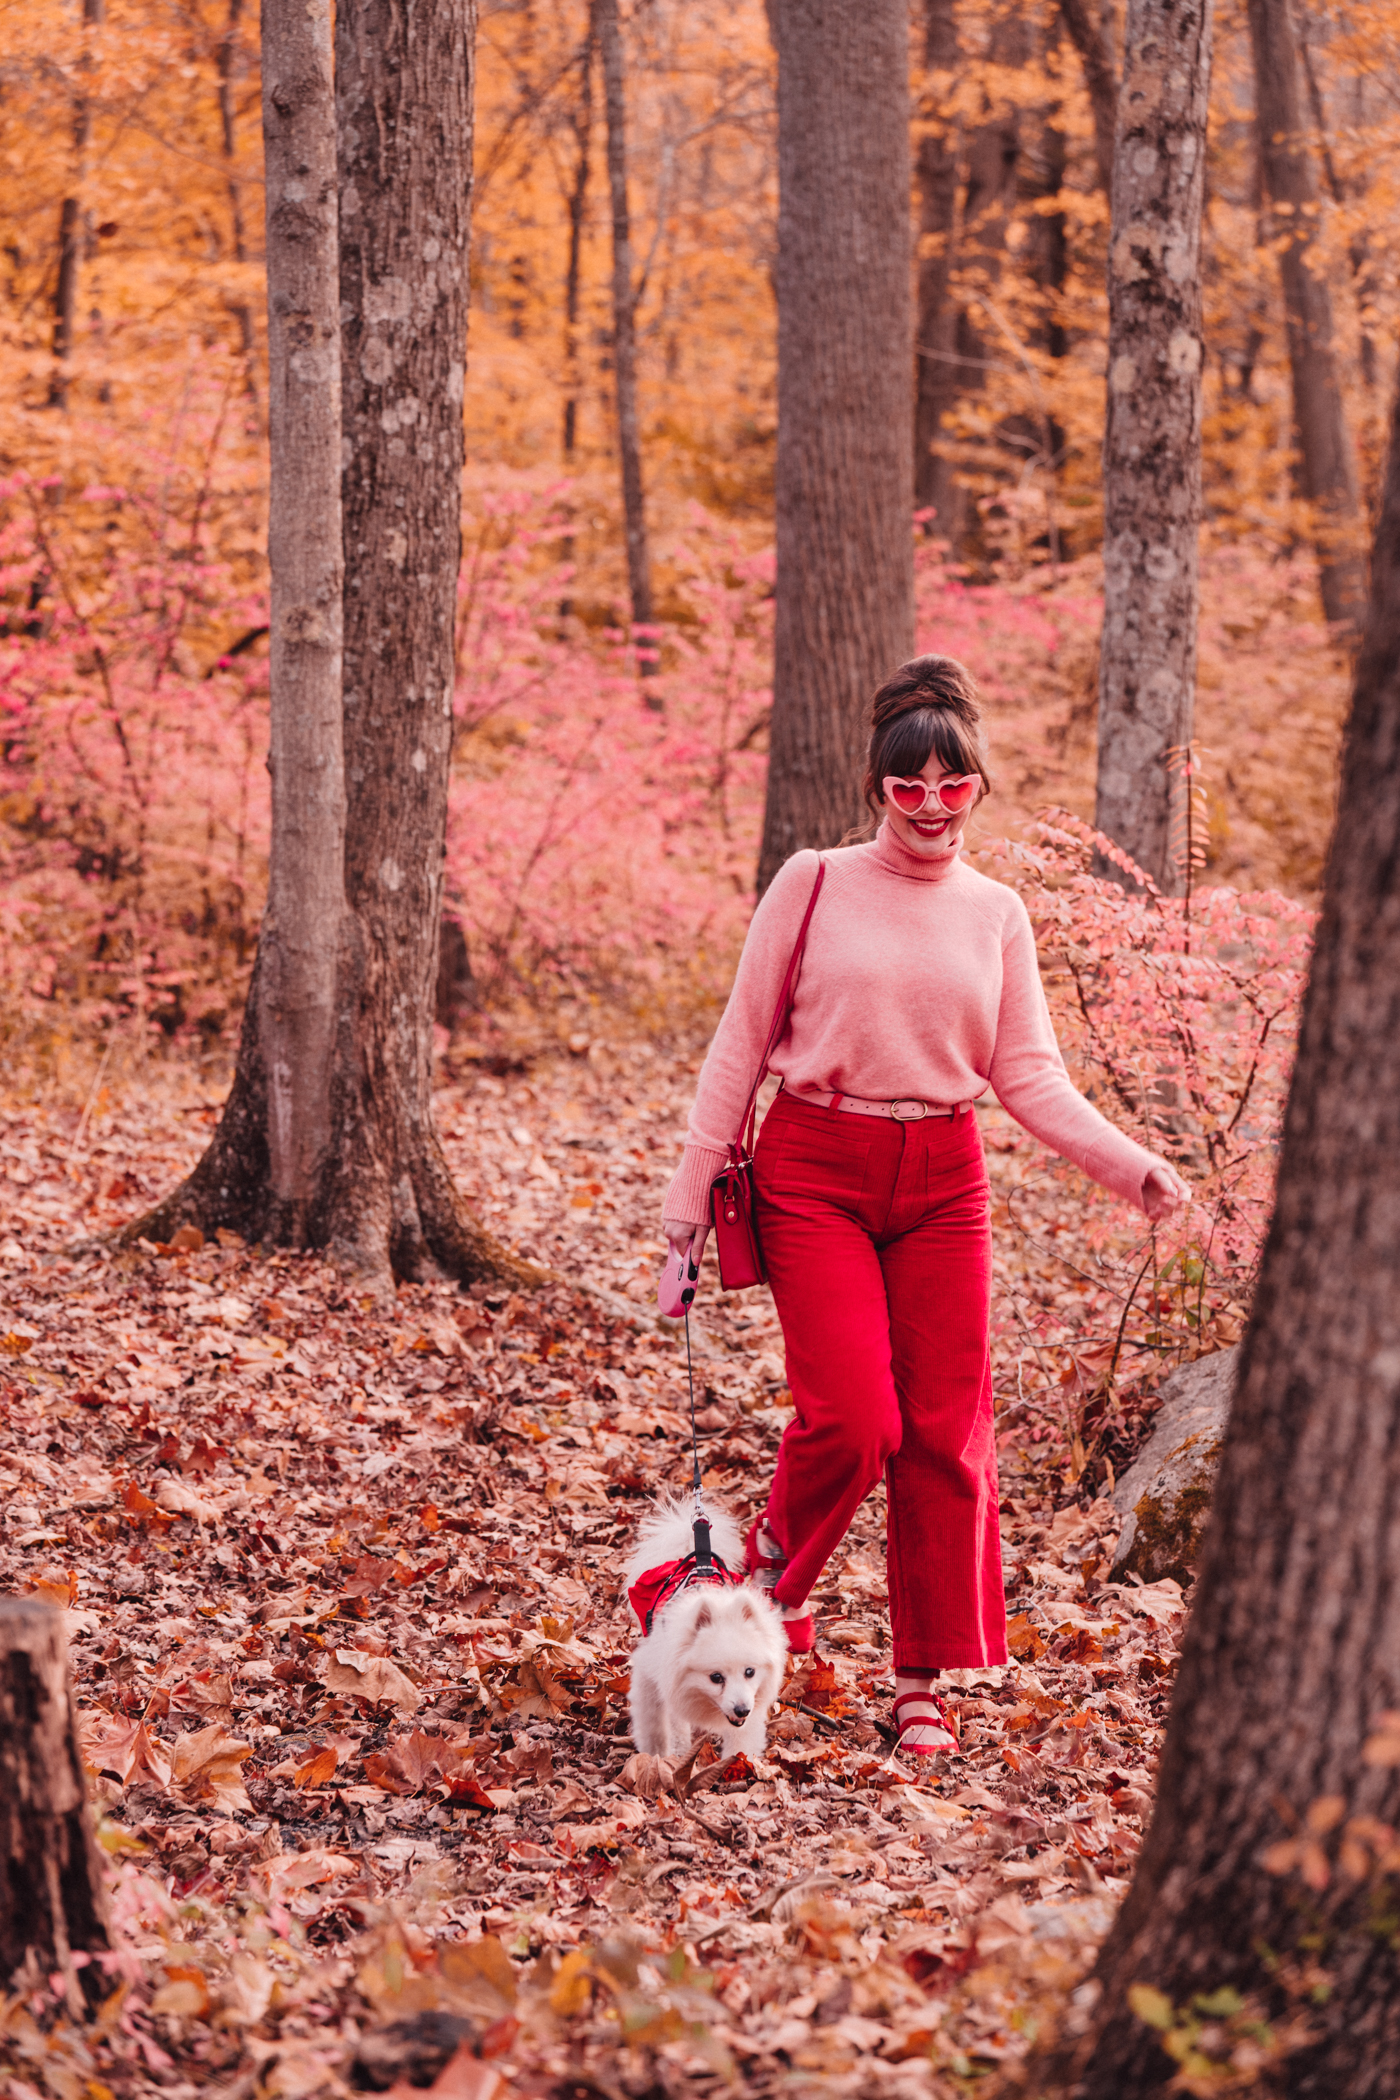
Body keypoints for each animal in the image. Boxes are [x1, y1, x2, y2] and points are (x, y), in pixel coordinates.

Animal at [625, 1503, 789, 1763]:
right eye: (716, 1677)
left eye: (750, 1672)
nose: (742, 1709)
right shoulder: (652, 1675)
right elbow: (655, 1725)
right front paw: (656, 1758)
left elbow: (742, 1743)